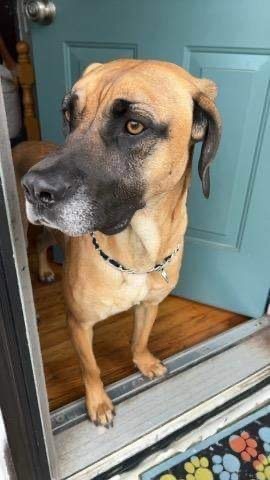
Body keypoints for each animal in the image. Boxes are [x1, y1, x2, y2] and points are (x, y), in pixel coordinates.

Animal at [19, 59, 221, 424]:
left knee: (43, 244)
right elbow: (91, 369)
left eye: (134, 126)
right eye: (69, 115)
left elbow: (139, 339)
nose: (34, 188)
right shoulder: (80, 324)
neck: (136, 251)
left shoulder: (150, 305)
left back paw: (45, 270)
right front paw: (98, 402)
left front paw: (144, 362)